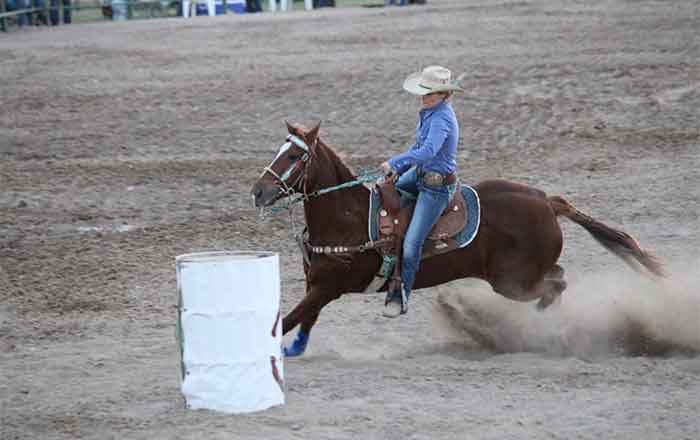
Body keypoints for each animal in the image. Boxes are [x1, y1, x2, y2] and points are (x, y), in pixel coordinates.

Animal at [250, 121, 665, 357]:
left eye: (294, 156)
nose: (258, 191)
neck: (348, 217)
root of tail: (547, 200)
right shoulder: (317, 287)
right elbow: (305, 322)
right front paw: (294, 351)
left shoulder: (327, 287)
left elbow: (289, 320)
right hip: (522, 275)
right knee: (559, 277)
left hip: (511, 281)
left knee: (556, 285)